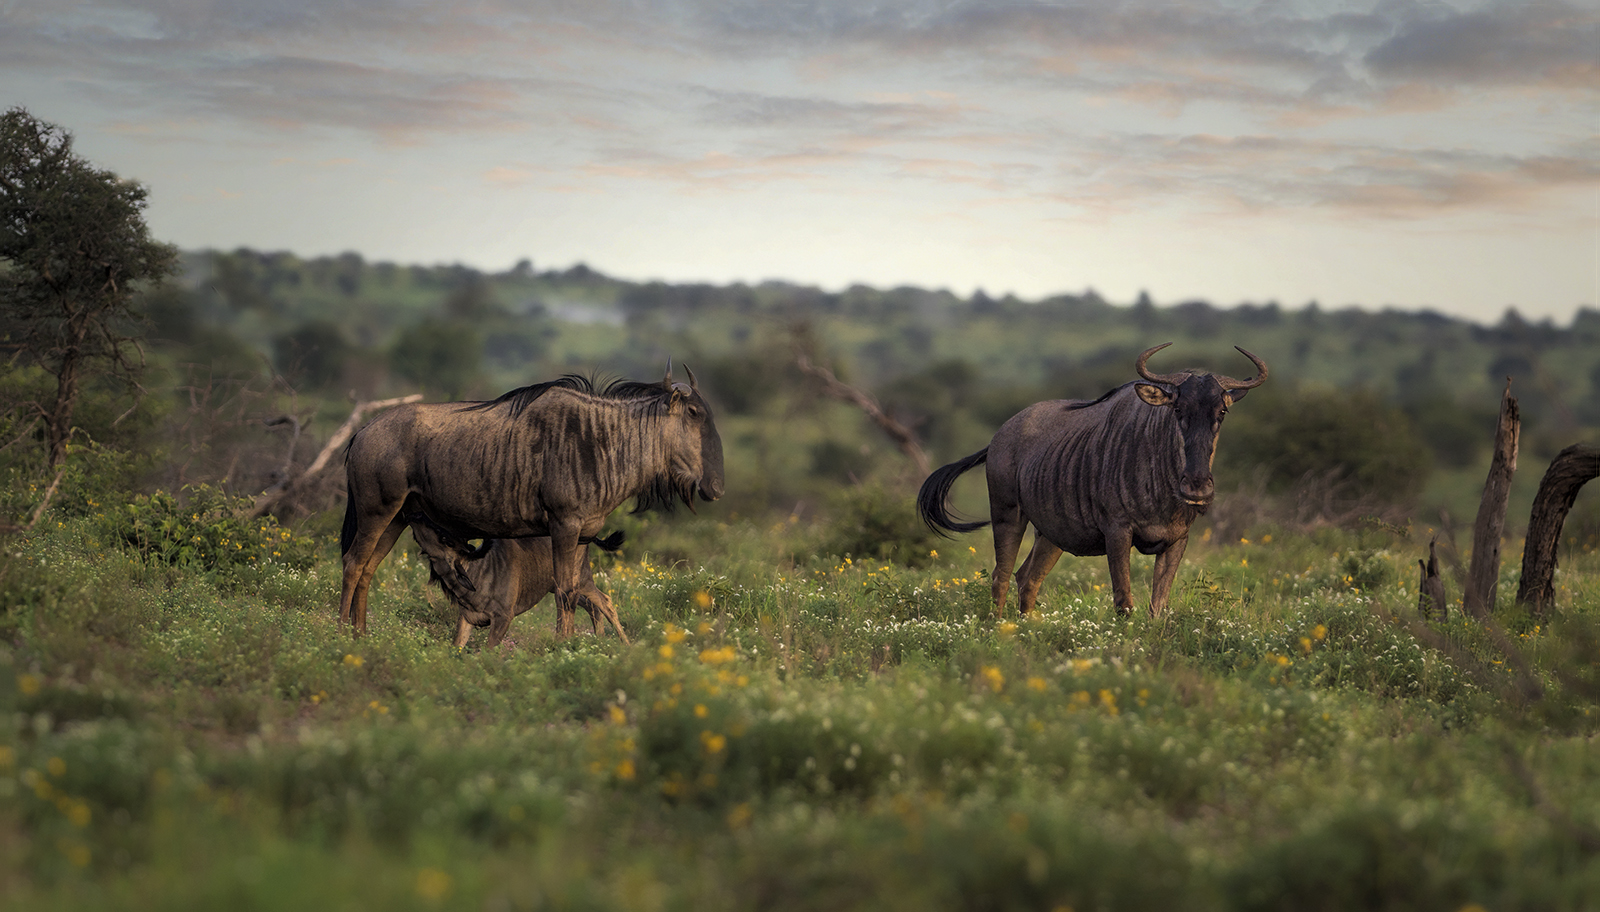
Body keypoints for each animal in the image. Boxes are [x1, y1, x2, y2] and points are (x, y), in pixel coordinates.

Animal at [406, 512, 624, 646]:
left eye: (445, 538)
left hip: (583, 581)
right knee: (590, 606)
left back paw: (625, 645)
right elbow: (456, 646)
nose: (415, 514)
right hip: (559, 587)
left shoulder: (503, 618)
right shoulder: (467, 618)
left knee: (605, 602)